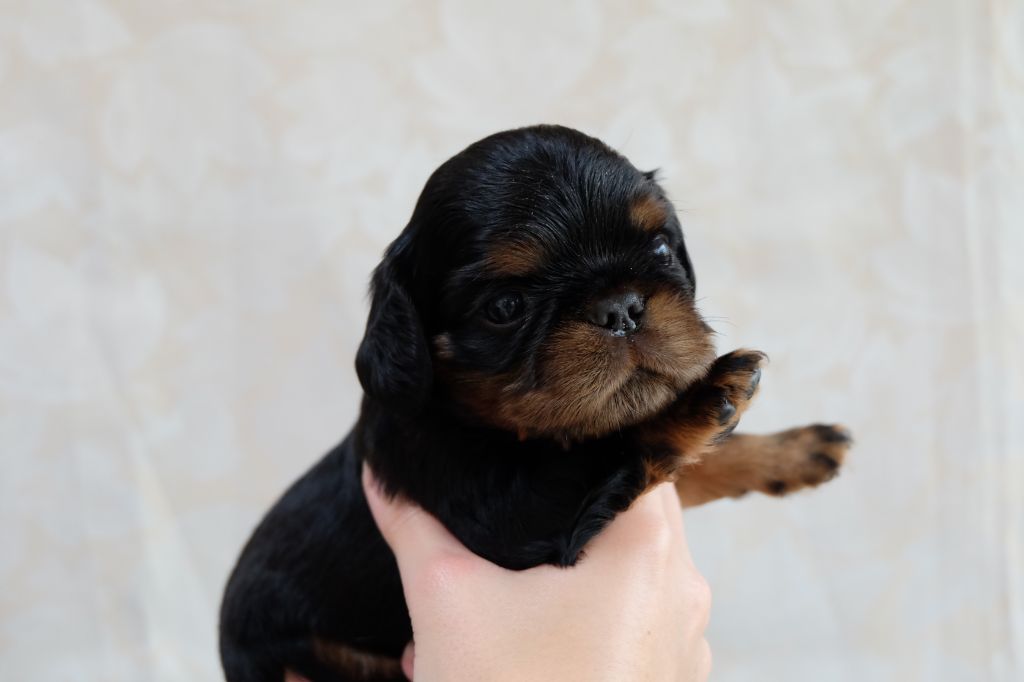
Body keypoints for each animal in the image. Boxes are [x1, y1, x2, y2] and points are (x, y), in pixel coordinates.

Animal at [220, 124, 851, 675]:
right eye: (505, 307)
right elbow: (625, 445)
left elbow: (686, 469)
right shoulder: (513, 514)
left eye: (660, 249)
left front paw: (792, 452)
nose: (622, 308)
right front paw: (709, 396)